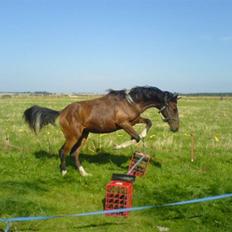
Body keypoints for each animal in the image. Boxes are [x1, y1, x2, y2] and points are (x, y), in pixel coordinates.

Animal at [23, 86, 179, 176]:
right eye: (173, 108)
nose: (176, 128)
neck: (130, 102)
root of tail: (61, 113)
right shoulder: (123, 123)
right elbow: (136, 137)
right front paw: (118, 147)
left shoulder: (134, 120)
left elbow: (148, 122)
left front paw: (143, 134)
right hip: (73, 136)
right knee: (63, 151)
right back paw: (64, 172)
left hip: (84, 135)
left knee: (74, 153)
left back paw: (84, 173)